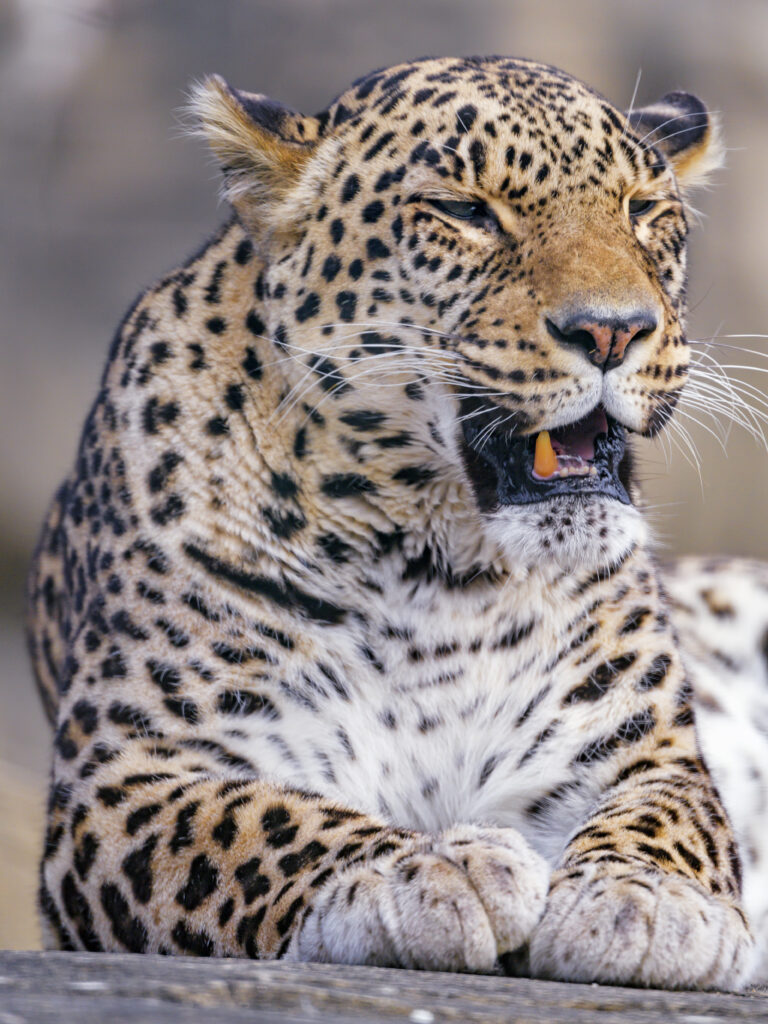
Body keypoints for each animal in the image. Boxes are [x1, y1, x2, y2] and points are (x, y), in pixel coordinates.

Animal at [26, 55, 768, 990]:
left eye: (643, 210)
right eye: (464, 212)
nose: (613, 331)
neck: (439, 572)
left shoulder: (640, 752)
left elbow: (667, 820)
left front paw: (646, 899)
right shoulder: (132, 774)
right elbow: (261, 823)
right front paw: (429, 867)